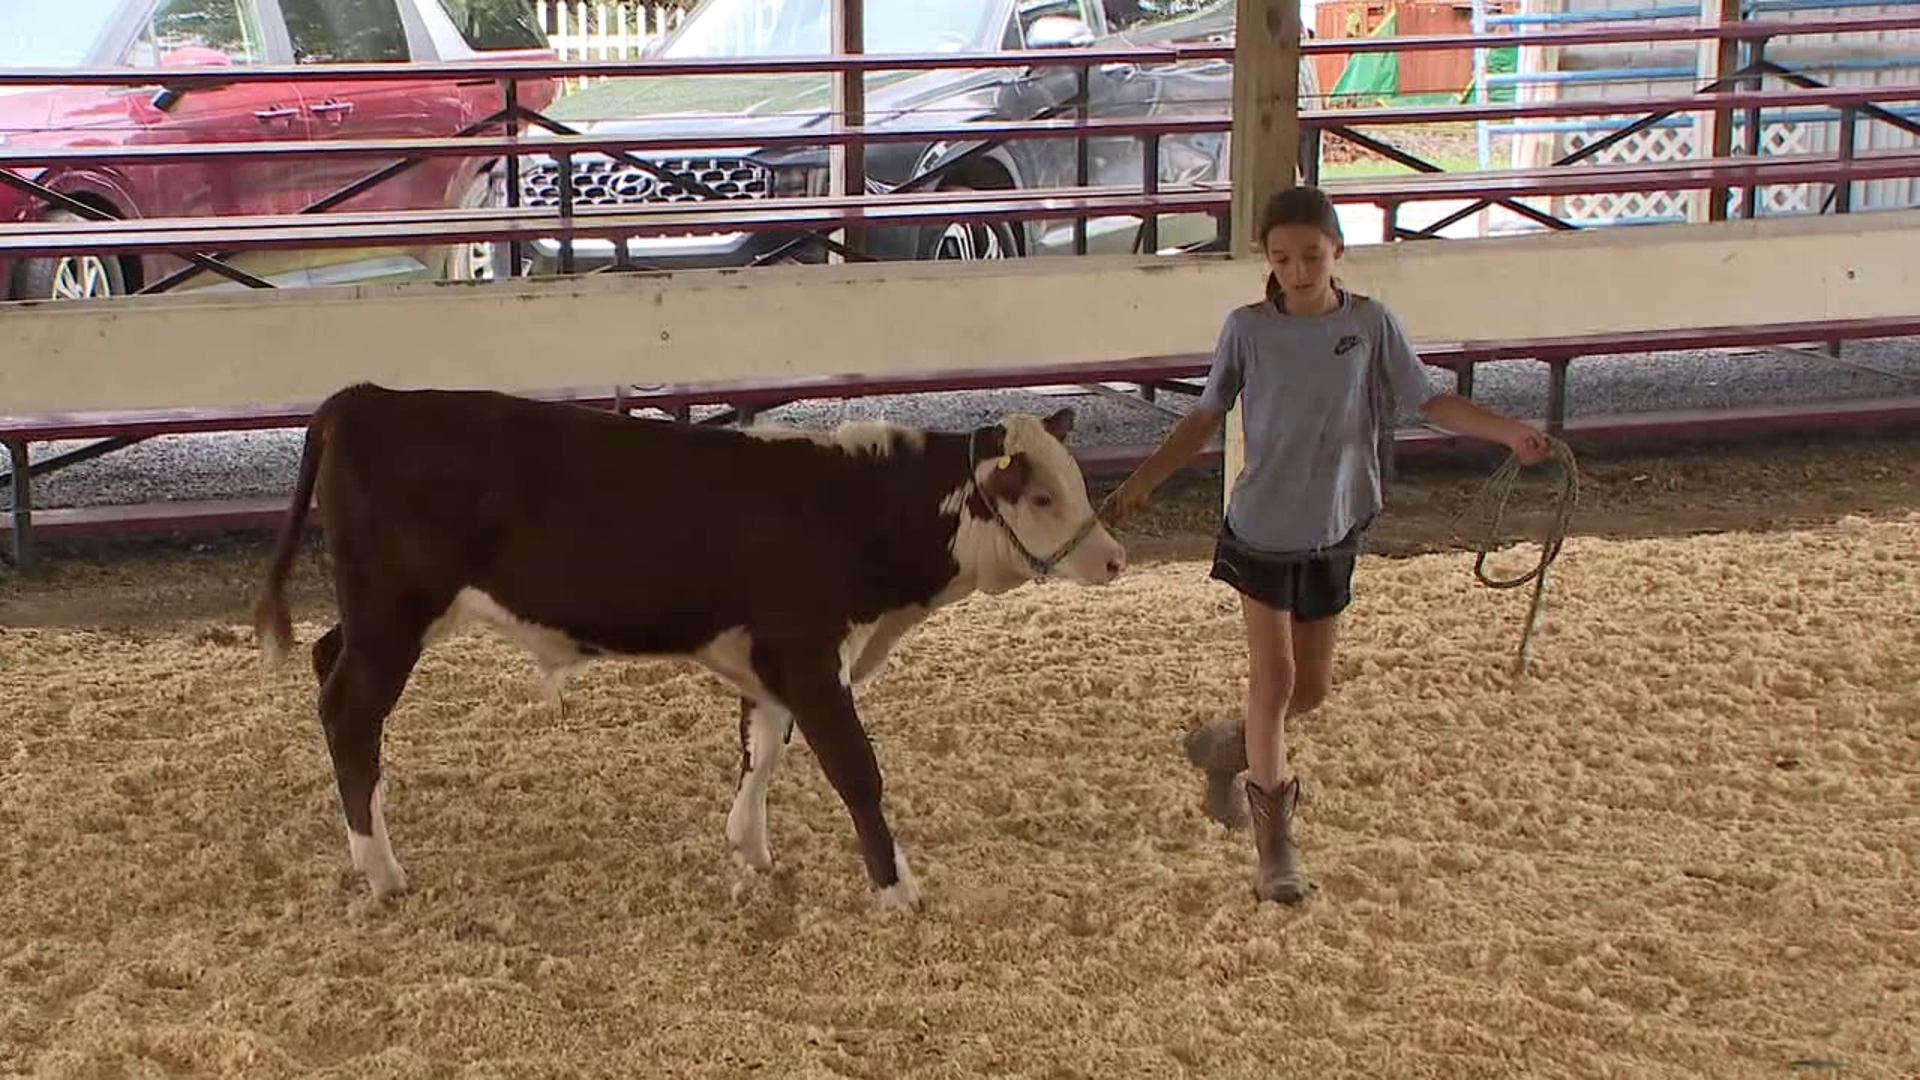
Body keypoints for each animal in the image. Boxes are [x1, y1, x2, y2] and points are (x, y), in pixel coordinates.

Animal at [253, 382, 1121, 903]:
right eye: (1042, 496)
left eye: (1073, 481)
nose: (1113, 558)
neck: (857, 507)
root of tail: (366, 399)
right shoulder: (810, 653)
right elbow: (856, 771)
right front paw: (895, 888)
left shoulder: (770, 657)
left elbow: (762, 746)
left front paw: (751, 846)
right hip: (393, 615)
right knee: (349, 713)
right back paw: (383, 871)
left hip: (378, 615)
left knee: (329, 667)